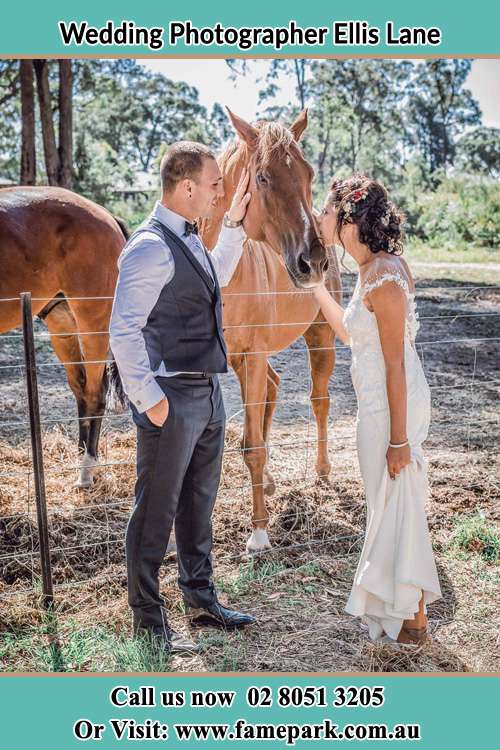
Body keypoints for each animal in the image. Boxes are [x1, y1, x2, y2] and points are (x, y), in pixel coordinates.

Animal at [0, 188, 127, 488]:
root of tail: (107, 216)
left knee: (95, 393)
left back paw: (86, 469)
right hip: (62, 324)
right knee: (81, 389)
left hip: (93, 323)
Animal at [201, 111, 342, 556]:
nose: (312, 261)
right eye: (262, 177)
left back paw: (322, 472)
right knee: (275, 389)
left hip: (320, 340)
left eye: (309, 172)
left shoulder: (253, 355)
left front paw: (259, 532)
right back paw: (271, 482)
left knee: (319, 401)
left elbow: (252, 446)